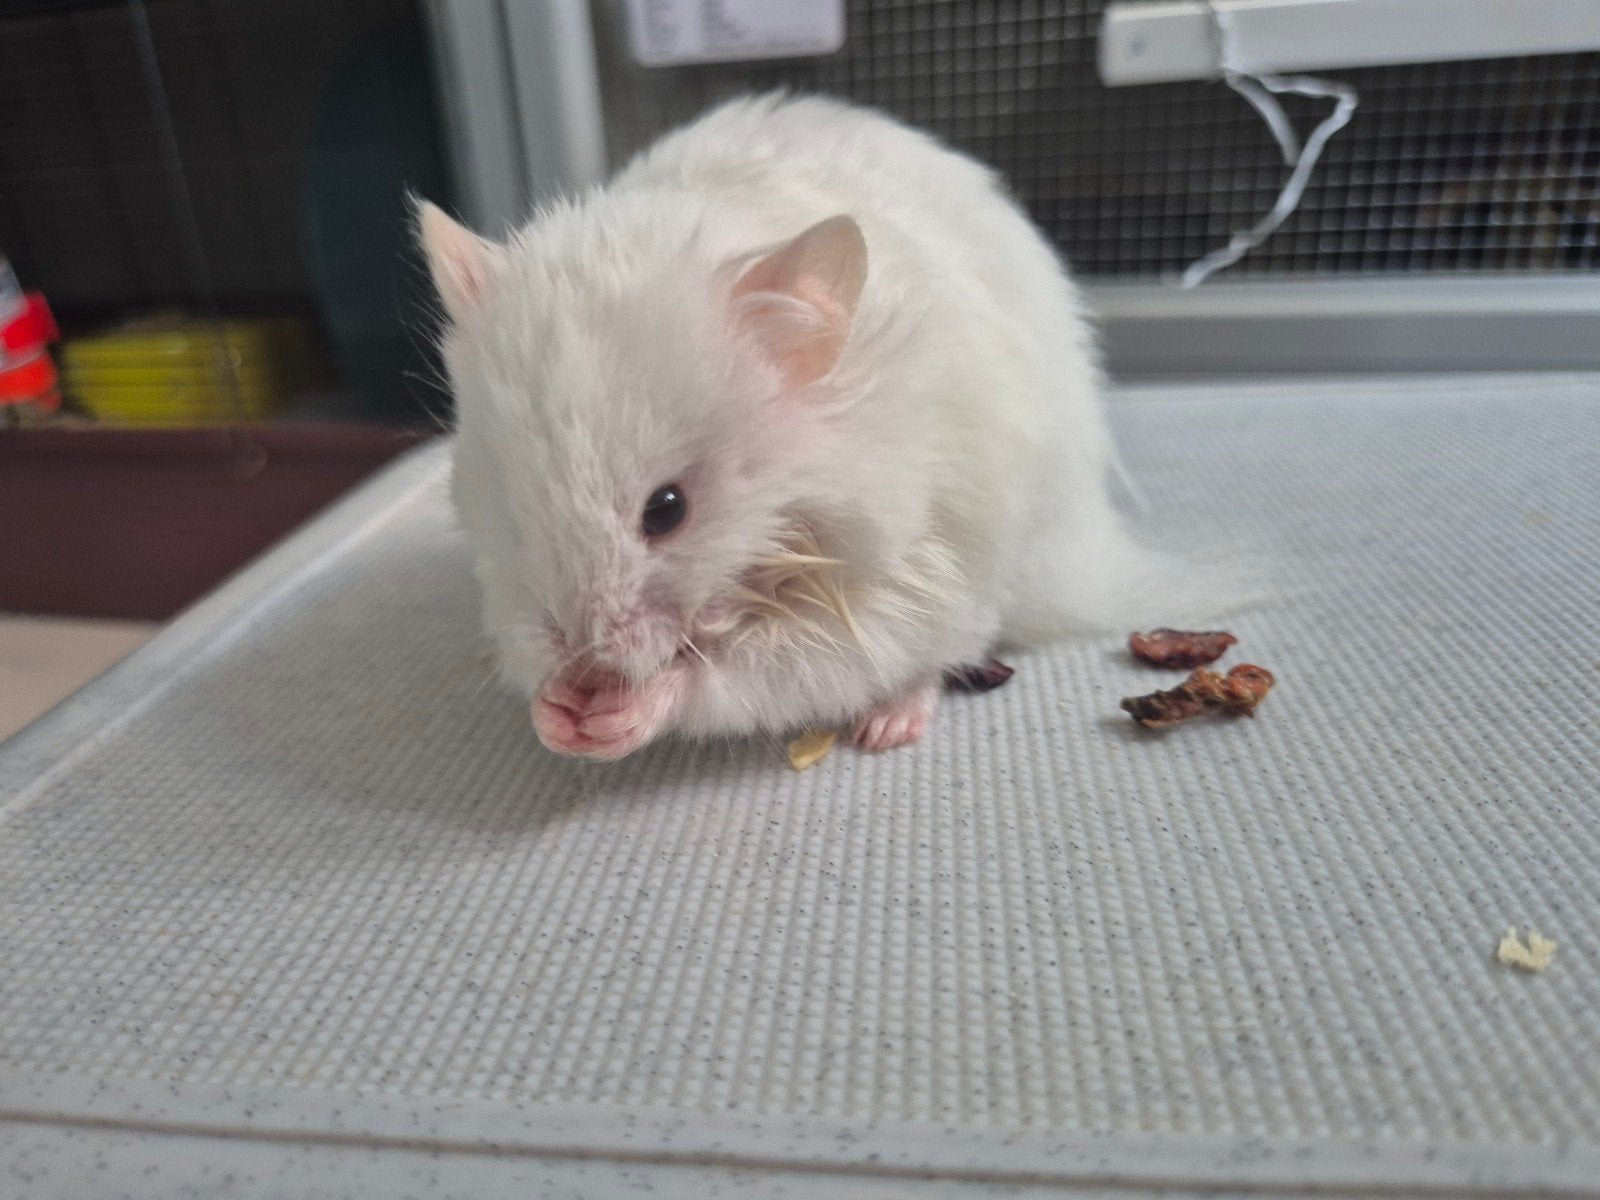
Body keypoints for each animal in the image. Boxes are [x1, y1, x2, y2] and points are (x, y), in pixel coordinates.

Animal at [419, 93, 1216, 761]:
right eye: (509, 514)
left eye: (667, 510)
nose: (583, 659)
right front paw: (557, 712)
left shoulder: (898, 575)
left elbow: (754, 672)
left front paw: (620, 713)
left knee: (935, 657)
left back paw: (888, 728)